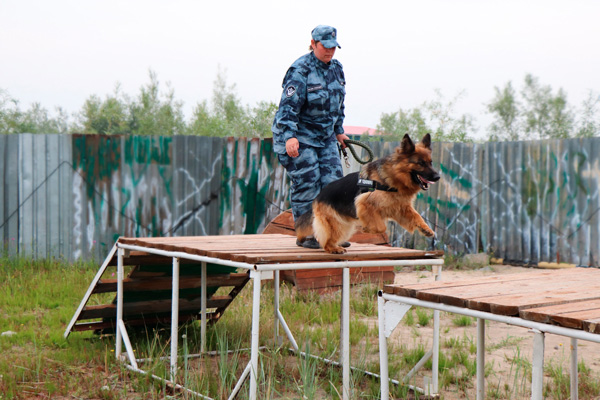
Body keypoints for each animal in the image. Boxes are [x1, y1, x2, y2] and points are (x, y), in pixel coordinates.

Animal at [296, 134, 440, 253]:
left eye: (430, 162)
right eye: (420, 163)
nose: (438, 177)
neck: (393, 176)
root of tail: (318, 197)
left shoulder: (401, 207)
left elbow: (416, 216)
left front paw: (426, 228)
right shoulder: (365, 203)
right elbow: (381, 227)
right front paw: (367, 229)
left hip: (343, 225)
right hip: (336, 224)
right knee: (325, 240)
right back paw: (333, 248)